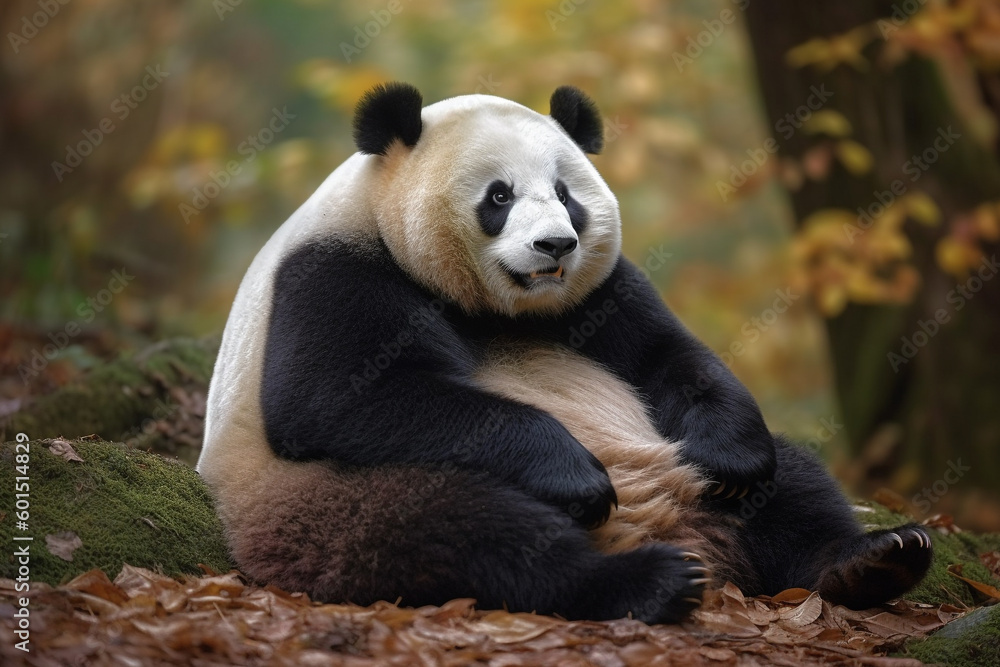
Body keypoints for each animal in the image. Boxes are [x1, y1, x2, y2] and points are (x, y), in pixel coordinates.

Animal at [197, 82, 932, 624]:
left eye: (566, 195)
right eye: (498, 195)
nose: (555, 244)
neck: (488, 305)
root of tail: (685, 533)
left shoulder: (596, 293)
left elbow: (668, 356)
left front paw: (729, 457)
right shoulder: (334, 271)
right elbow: (336, 399)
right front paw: (577, 475)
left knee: (794, 481)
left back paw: (875, 557)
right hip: (321, 504)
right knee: (456, 527)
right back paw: (647, 579)